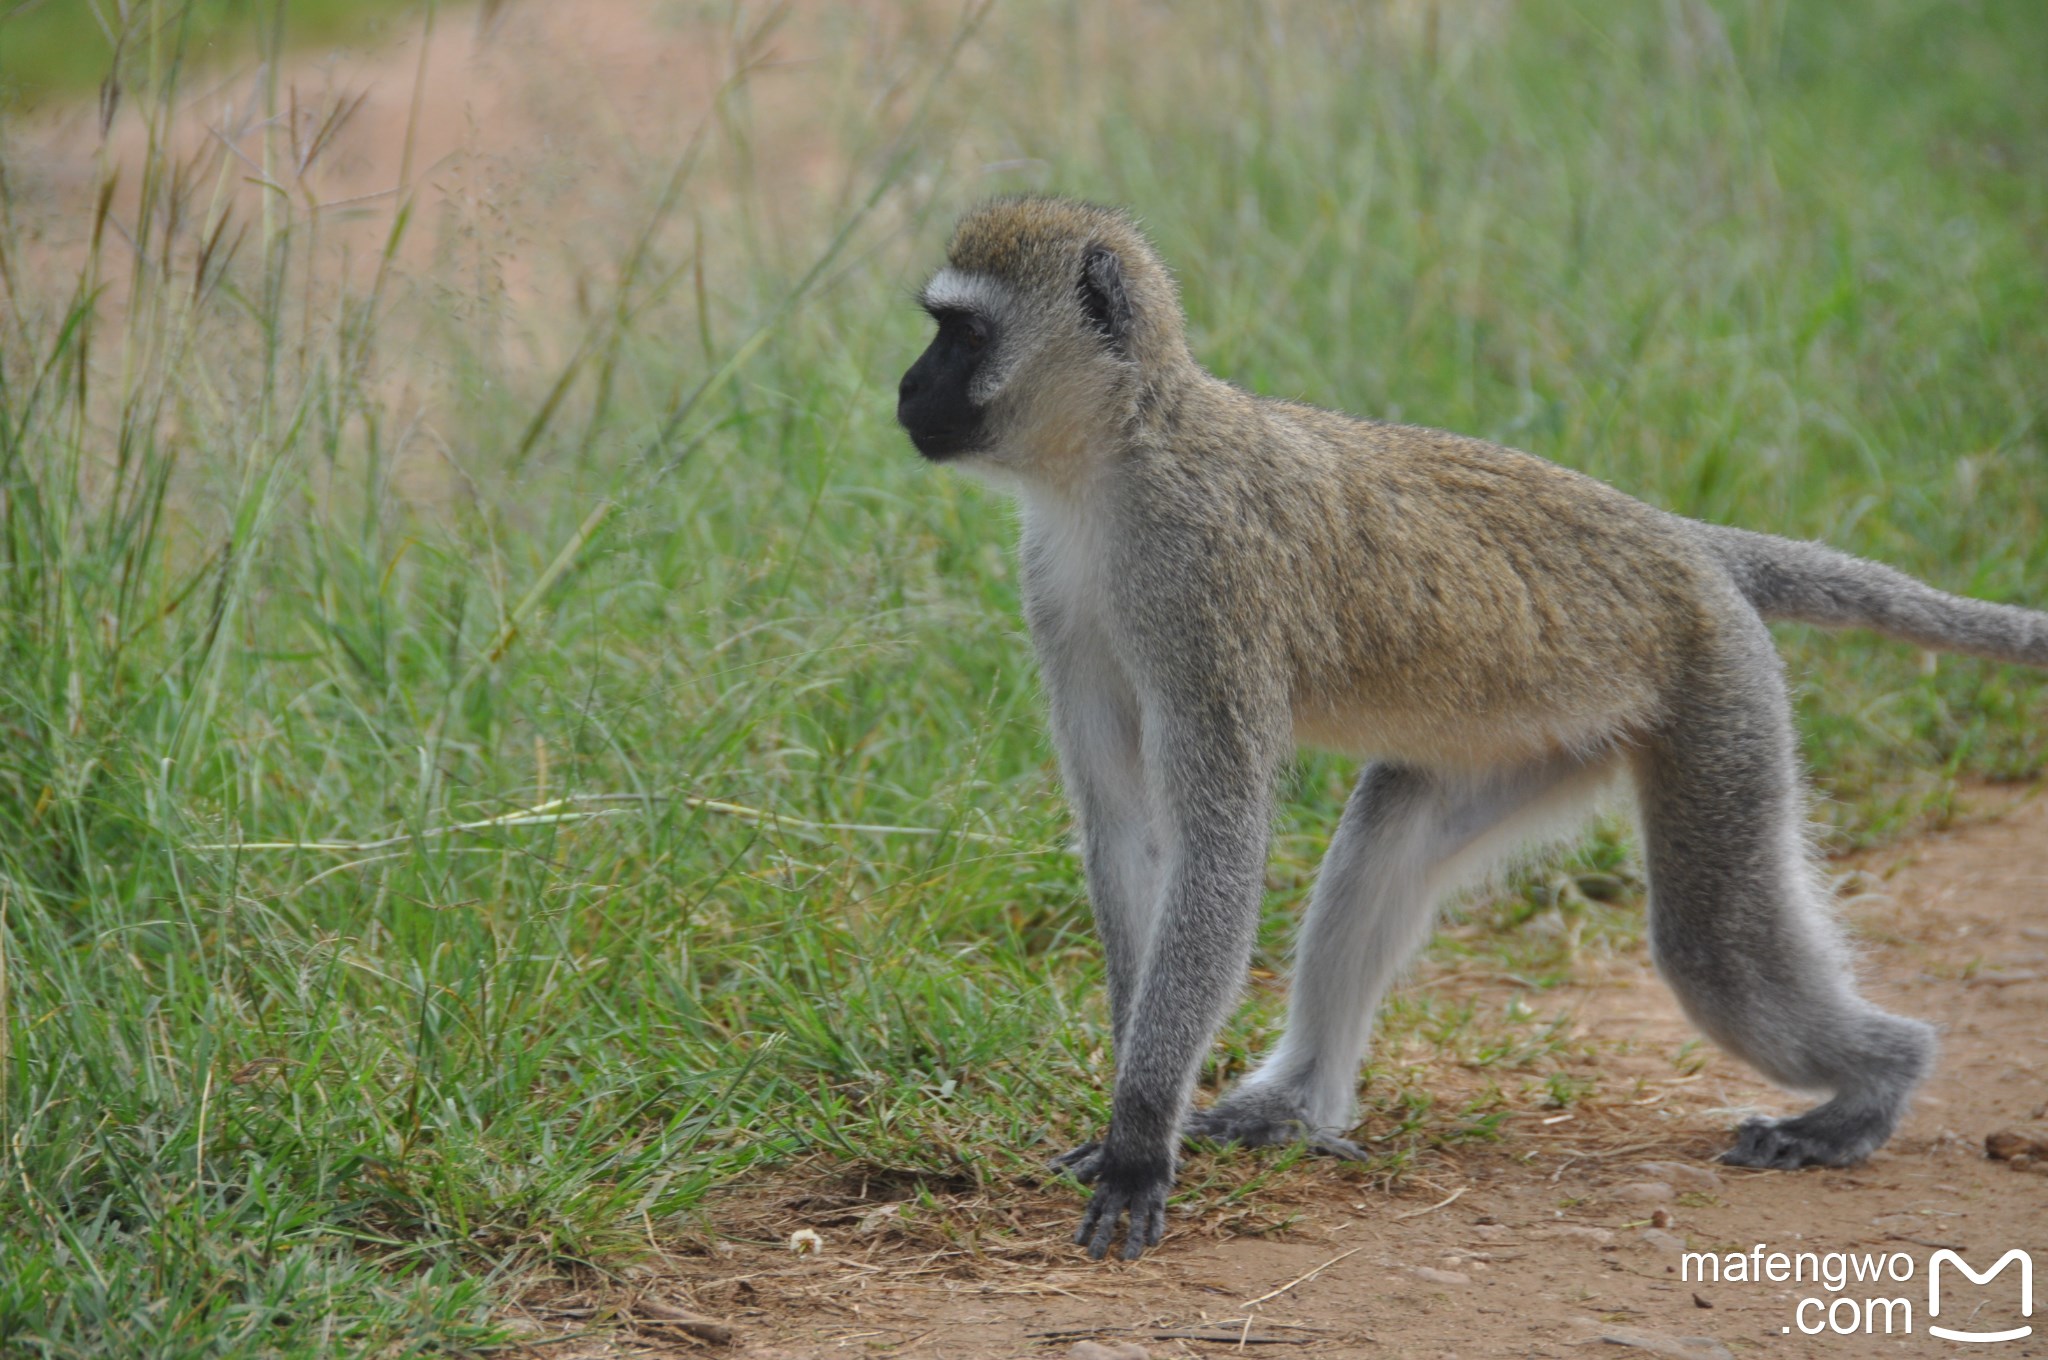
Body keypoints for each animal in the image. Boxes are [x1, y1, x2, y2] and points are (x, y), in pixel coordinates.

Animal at [897, 193, 2048, 1261]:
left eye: (960, 334)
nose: (904, 388)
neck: (1118, 458)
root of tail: (1680, 541)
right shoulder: (1059, 588)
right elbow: (1131, 833)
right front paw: (1136, 1108)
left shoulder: (1200, 584)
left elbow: (1214, 849)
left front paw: (1139, 1139)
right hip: (1539, 735)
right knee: (1389, 841)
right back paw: (1297, 1105)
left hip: (1718, 692)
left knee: (1711, 948)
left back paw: (1874, 1087)